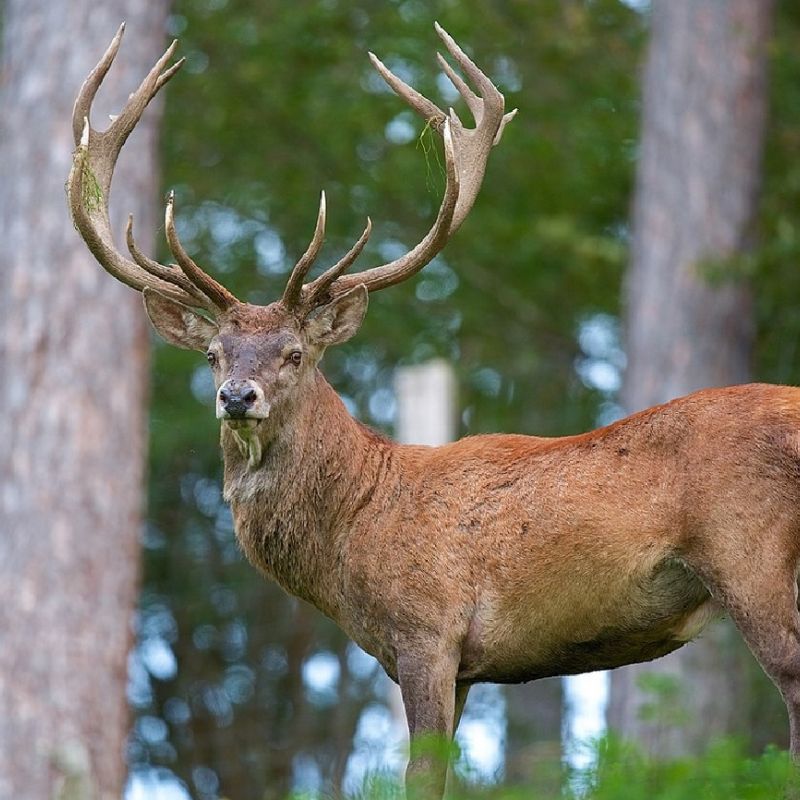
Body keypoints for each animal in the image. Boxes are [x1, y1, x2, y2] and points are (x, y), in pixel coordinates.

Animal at [69, 21, 800, 796]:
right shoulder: (464, 668)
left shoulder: (427, 631)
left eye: (296, 353)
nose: (237, 396)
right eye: (213, 355)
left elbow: (421, 776)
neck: (355, 530)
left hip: (748, 553)